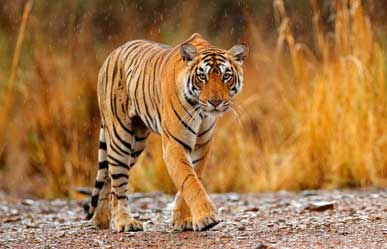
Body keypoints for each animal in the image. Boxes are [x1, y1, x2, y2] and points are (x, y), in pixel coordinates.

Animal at [84, 32, 249, 231]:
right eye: (202, 76)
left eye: (226, 76)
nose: (215, 102)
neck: (201, 112)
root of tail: (112, 54)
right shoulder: (175, 144)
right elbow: (189, 181)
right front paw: (207, 217)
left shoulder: (201, 145)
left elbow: (192, 179)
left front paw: (182, 220)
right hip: (120, 137)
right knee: (118, 183)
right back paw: (125, 222)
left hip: (137, 143)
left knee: (109, 177)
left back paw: (101, 220)